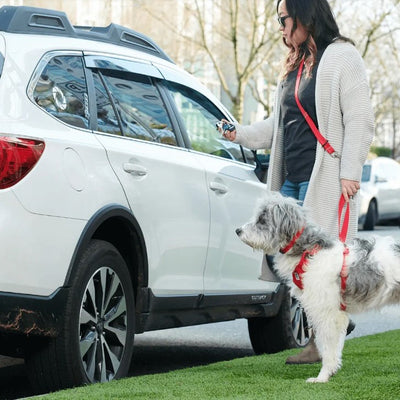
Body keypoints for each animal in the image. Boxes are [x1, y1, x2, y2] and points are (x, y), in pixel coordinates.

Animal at [238, 192, 400, 382]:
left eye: (262, 220)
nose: (238, 231)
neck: (308, 252)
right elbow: (332, 347)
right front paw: (330, 371)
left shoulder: (328, 313)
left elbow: (328, 348)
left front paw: (322, 377)